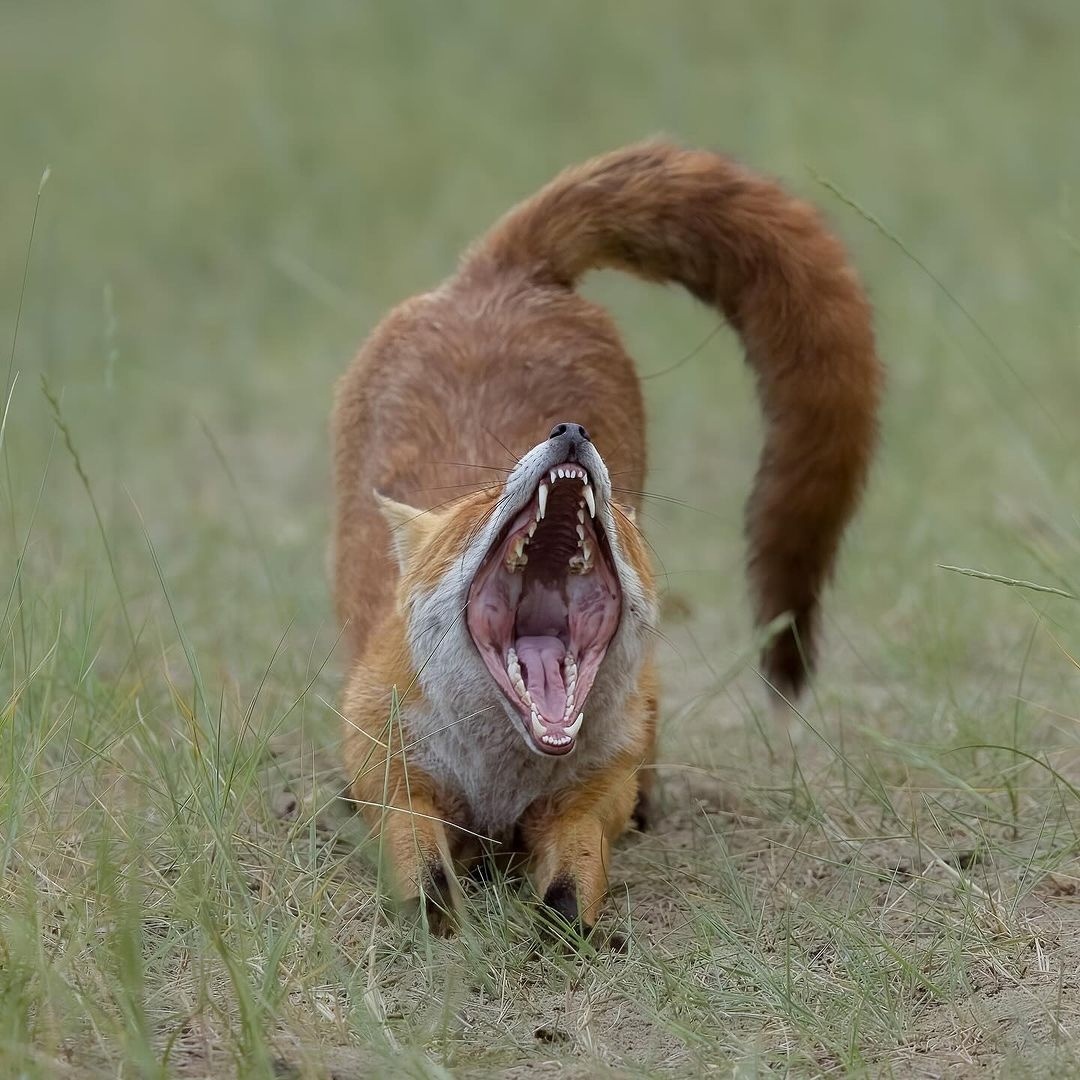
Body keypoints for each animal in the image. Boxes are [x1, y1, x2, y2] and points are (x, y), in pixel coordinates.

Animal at [332, 141, 881, 937]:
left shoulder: (591, 796)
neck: (502, 780)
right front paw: (440, 922)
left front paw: (560, 926)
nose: (568, 432)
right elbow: (419, 870)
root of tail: (498, 273)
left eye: (616, 515)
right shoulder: (394, 773)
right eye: (478, 506)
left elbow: (577, 875)